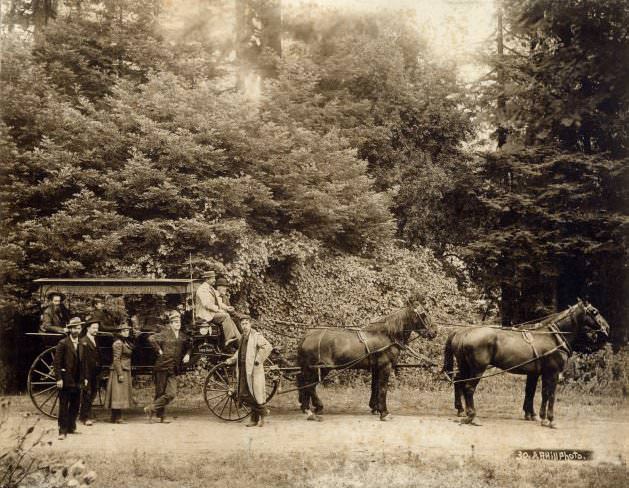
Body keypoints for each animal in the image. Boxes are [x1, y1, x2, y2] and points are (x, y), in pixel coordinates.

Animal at [296, 300, 434, 422]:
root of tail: (306, 336)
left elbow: (375, 387)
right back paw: (312, 410)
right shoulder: (385, 366)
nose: (434, 332)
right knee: (308, 385)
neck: (386, 335)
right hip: (319, 368)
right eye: (423, 314)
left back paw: (308, 408)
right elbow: (383, 388)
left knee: (306, 384)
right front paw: (384, 413)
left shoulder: (376, 367)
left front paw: (375, 408)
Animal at [442, 300, 608, 428]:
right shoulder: (552, 373)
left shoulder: (536, 373)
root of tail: (464, 332)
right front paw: (550, 420)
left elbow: (535, 392)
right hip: (477, 369)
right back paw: (472, 416)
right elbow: (550, 394)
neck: (553, 337)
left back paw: (462, 411)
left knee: (459, 382)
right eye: (594, 311)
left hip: (465, 366)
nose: (606, 328)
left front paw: (536, 416)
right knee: (468, 388)